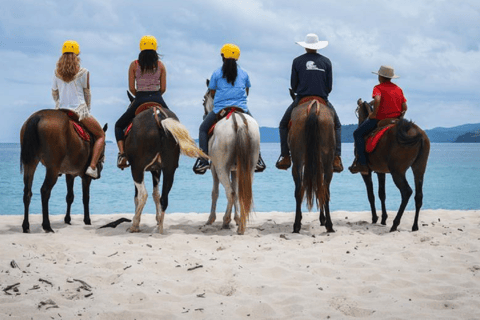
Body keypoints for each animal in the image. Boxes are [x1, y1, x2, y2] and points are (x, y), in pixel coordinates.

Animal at [124, 92, 206, 232]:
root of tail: (159, 119)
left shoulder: (141, 169)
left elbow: (138, 196)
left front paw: (137, 222)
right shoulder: (156, 170)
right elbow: (156, 194)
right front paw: (157, 219)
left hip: (137, 169)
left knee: (143, 195)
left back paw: (134, 225)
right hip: (169, 169)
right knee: (164, 198)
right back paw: (160, 229)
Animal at [286, 96, 336, 234]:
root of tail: (313, 108)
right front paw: (322, 219)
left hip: (298, 161)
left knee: (300, 190)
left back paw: (297, 225)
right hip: (326, 164)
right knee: (324, 190)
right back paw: (329, 225)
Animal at [354, 99, 430, 231]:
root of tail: (416, 132)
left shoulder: (366, 172)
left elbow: (371, 195)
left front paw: (375, 218)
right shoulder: (380, 170)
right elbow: (382, 194)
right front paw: (383, 218)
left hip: (397, 172)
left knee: (406, 192)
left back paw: (395, 224)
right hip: (419, 168)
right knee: (418, 196)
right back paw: (414, 226)